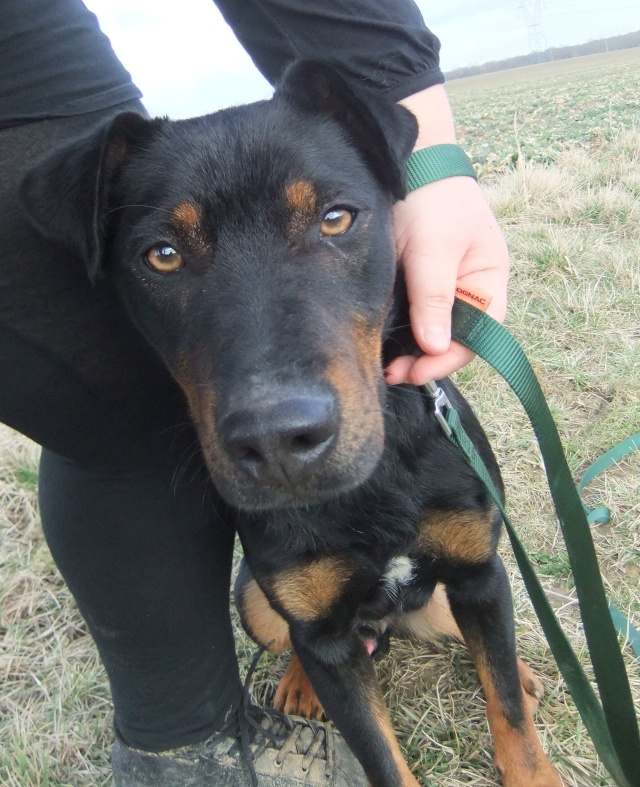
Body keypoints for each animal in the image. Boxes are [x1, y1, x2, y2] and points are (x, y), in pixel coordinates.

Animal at [22, 58, 564, 784]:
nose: (278, 441)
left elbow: (507, 710)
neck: (372, 484)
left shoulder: (478, 568)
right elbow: (381, 755)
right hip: (255, 600)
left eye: (337, 218)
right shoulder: (321, 632)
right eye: (161, 255)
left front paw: (523, 718)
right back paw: (300, 687)